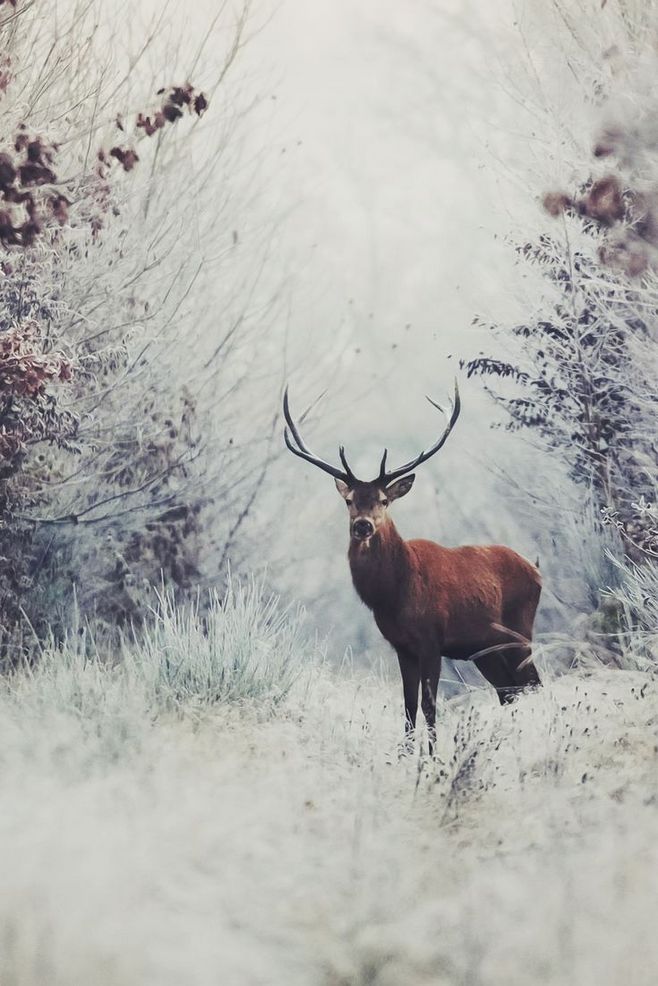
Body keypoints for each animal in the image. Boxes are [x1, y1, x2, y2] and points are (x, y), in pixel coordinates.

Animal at [284, 380, 540, 748]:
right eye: (349, 500)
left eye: (383, 500)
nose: (363, 525)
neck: (394, 595)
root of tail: (537, 570)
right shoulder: (401, 646)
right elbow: (407, 705)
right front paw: (405, 753)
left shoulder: (432, 639)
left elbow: (429, 706)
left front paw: (431, 755)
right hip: (486, 649)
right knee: (510, 691)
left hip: (520, 631)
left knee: (532, 684)